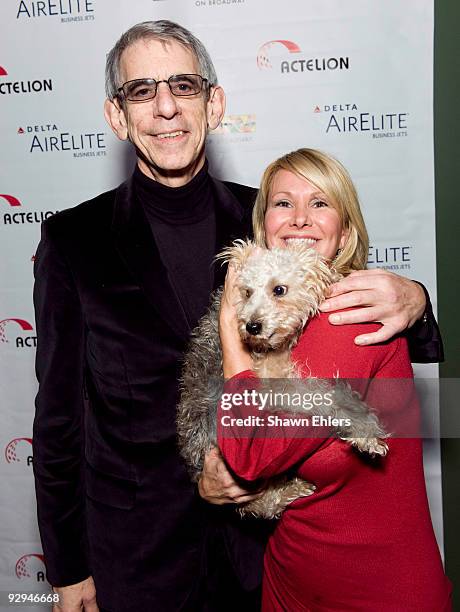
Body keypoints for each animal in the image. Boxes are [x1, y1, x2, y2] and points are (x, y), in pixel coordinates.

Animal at [178, 239, 386, 516]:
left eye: (279, 289)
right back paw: (294, 489)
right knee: (262, 503)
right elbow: (321, 395)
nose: (252, 327)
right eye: (246, 292)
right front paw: (365, 430)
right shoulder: (273, 386)